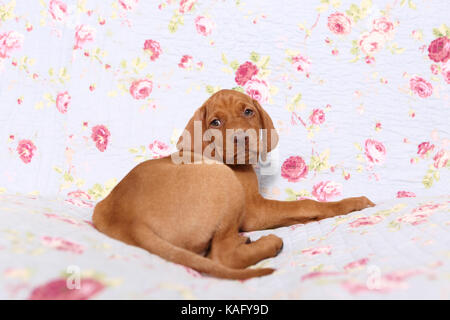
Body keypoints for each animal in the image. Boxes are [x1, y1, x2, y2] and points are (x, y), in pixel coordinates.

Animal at [92, 89, 376, 278]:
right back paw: (267, 244)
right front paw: (354, 202)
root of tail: (129, 220)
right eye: (215, 122)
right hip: (224, 184)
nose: (241, 137)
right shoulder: (254, 211)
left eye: (248, 111)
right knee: (222, 256)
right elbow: (307, 204)